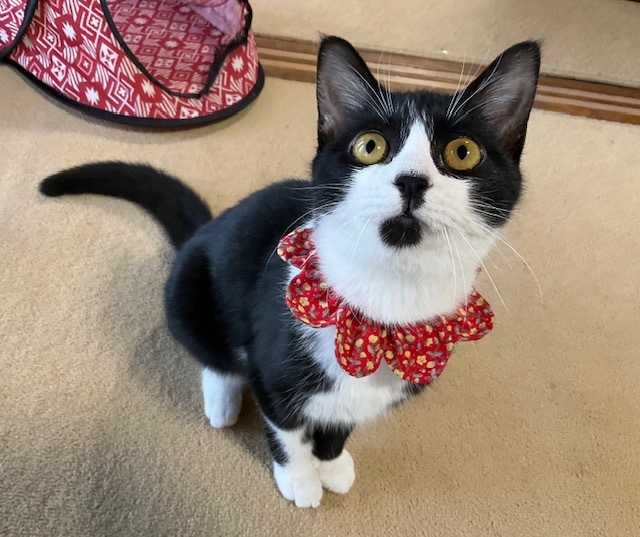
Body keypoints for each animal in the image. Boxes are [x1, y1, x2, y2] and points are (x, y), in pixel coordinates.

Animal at [40, 36, 540, 508]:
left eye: (462, 152)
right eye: (370, 146)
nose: (412, 180)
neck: (385, 306)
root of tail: (206, 229)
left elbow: (339, 423)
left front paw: (332, 464)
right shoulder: (274, 369)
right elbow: (286, 428)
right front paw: (299, 479)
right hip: (187, 291)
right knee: (211, 353)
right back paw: (222, 398)